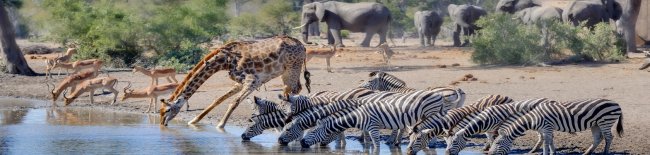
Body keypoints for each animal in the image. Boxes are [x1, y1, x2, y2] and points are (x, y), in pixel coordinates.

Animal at [157, 36, 308, 127]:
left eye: (167, 110)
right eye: (160, 111)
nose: (162, 124)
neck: (225, 61)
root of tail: (302, 46)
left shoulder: (253, 80)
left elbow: (234, 101)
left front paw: (220, 125)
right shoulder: (240, 82)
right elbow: (218, 99)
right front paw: (194, 121)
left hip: (292, 67)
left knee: (291, 90)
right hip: (287, 71)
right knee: (295, 89)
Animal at [298, 88, 460, 149]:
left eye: (313, 132)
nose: (302, 143)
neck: (358, 115)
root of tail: (438, 95)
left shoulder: (373, 127)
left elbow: (376, 145)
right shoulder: (368, 129)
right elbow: (369, 143)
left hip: (431, 113)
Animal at [486, 98, 624, 154]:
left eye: (497, 143)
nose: (489, 154)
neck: (534, 118)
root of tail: (616, 103)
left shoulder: (547, 127)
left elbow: (546, 143)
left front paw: (546, 154)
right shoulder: (546, 129)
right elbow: (551, 142)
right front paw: (553, 153)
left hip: (605, 121)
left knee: (609, 137)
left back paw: (605, 153)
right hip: (595, 124)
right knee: (598, 138)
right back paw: (587, 153)